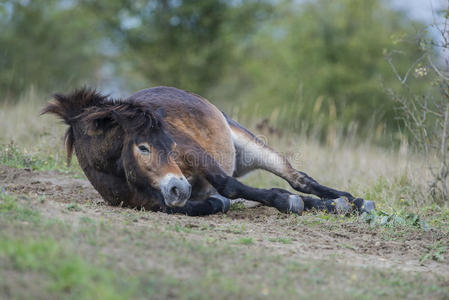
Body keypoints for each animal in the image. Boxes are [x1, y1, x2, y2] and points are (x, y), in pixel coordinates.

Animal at [42, 86, 372, 216]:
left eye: (169, 143)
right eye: (143, 147)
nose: (179, 188)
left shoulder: (194, 154)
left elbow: (228, 184)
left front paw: (286, 201)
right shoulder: (154, 203)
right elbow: (195, 205)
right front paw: (214, 203)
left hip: (252, 146)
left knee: (298, 178)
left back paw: (351, 202)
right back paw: (336, 205)